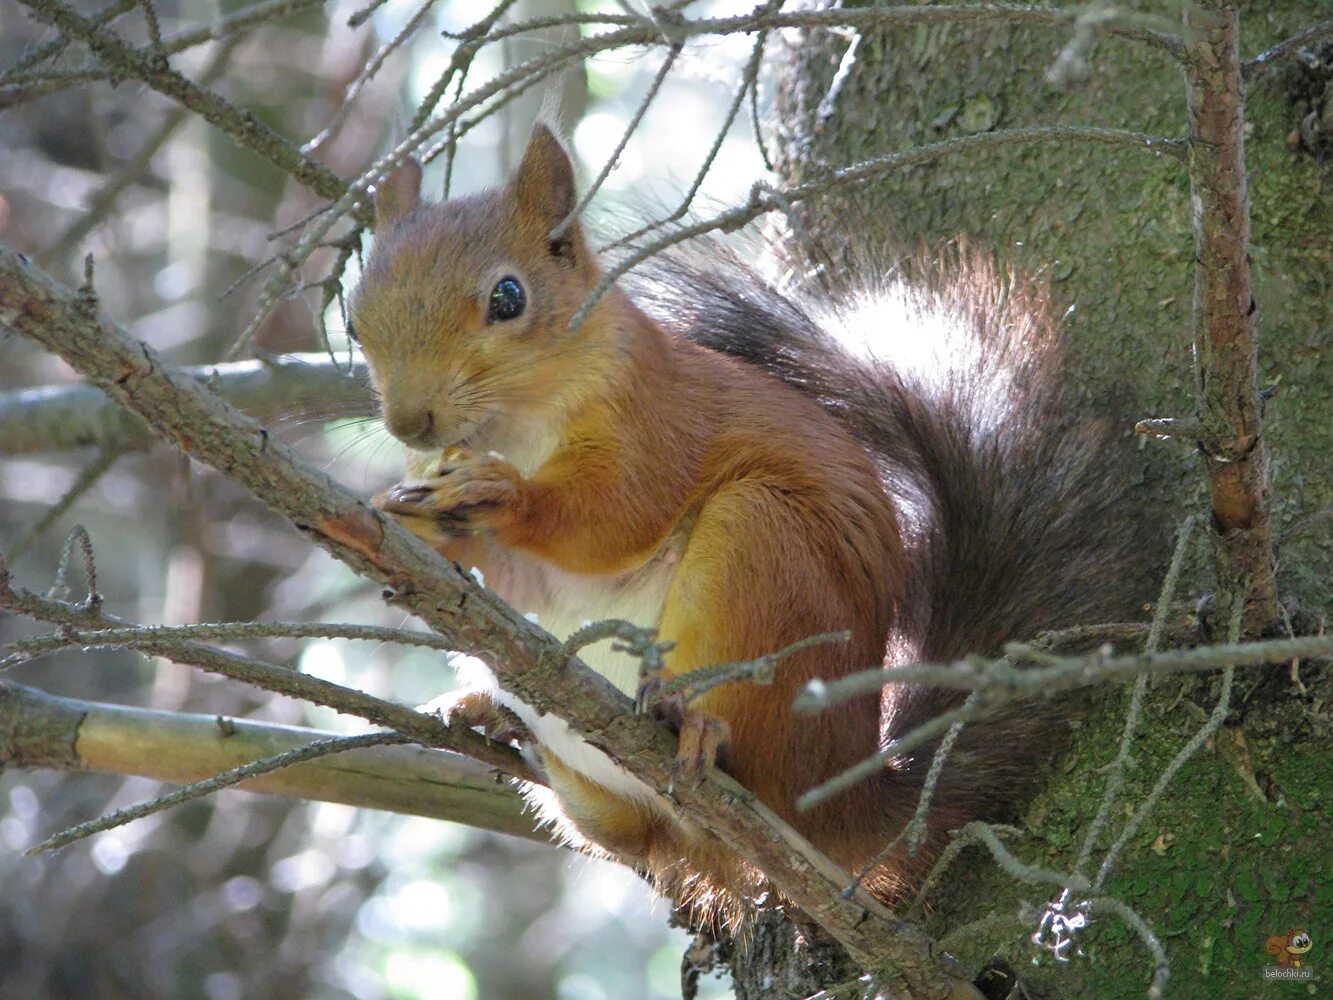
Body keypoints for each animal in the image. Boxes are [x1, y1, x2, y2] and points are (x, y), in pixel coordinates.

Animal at [351, 123, 1146, 933]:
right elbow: (521, 579)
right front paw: (412, 517)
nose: (409, 422)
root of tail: (834, 802)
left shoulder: (655, 421)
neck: (516, 426)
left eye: (507, 298)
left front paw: (499, 493)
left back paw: (702, 733)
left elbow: (611, 516)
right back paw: (498, 722)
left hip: (761, 550)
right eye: (354, 315)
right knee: (631, 831)